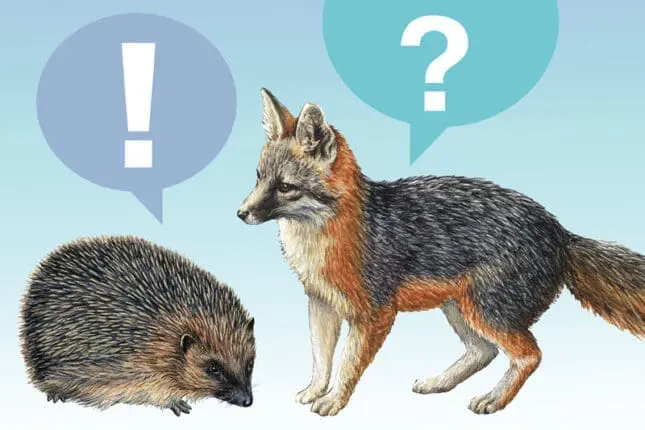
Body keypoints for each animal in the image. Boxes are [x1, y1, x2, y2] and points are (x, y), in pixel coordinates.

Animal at [238, 88, 645, 417]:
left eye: (285, 187)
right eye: (258, 178)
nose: (241, 213)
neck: (324, 238)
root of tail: (561, 232)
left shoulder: (374, 315)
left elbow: (348, 365)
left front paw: (335, 400)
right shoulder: (321, 303)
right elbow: (321, 359)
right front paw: (315, 390)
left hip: (484, 312)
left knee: (529, 354)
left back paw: (493, 399)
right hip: (459, 309)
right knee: (485, 352)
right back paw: (440, 382)